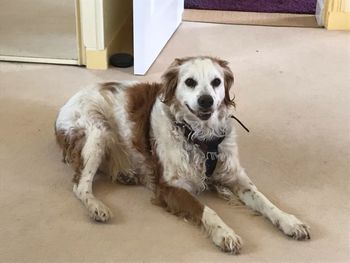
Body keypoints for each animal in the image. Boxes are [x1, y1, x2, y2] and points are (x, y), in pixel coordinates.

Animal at [54, 56, 308, 255]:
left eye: (216, 82)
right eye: (190, 82)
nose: (206, 100)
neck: (201, 137)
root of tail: (66, 104)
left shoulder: (235, 176)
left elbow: (265, 201)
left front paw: (289, 221)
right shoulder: (171, 187)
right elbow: (207, 210)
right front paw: (225, 233)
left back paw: (127, 175)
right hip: (97, 132)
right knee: (80, 185)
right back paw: (97, 207)